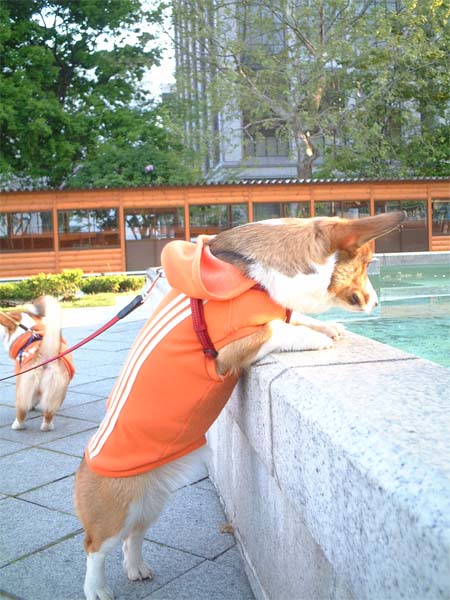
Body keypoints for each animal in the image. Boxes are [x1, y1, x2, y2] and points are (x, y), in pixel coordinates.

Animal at [0, 295, 75, 431]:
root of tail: (44, 353)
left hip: (24, 387)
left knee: (21, 410)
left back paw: (17, 425)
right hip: (56, 389)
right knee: (49, 412)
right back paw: (47, 427)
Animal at [74, 211, 405, 600]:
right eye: (366, 265)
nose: (377, 304)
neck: (257, 274)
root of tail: (86, 461)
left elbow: (293, 315)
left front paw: (328, 328)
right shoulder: (233, 347)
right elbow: (279, 325)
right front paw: (316, 337)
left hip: (150, 503)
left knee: (134, 536)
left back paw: (137, 568)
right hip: (114, 512)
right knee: (95, 548)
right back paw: (97, 588)